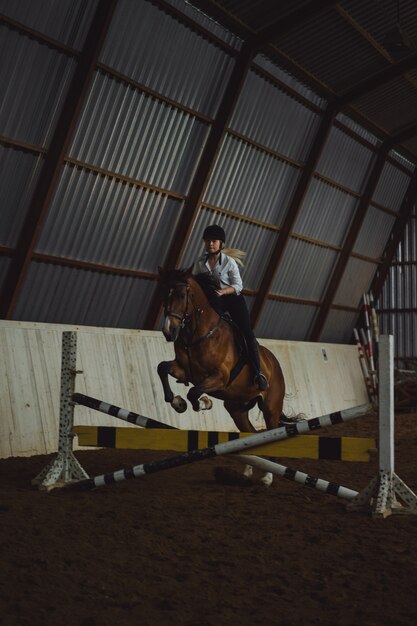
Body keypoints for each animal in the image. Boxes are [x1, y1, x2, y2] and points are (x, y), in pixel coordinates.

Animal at [154, 266, 288, 486]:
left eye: (182, 295)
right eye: (165, 295)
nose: (168, 331)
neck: (199, 333)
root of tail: (275, 363)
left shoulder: (219, 378)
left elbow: (193, 392)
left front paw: (202, 403)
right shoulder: (185, 370)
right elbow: (162, 368)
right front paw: (177, 402)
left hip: (270, 408)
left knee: (271, 433)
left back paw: (267, 477)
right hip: (237, 409)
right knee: (251, 435)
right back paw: (248, 472)